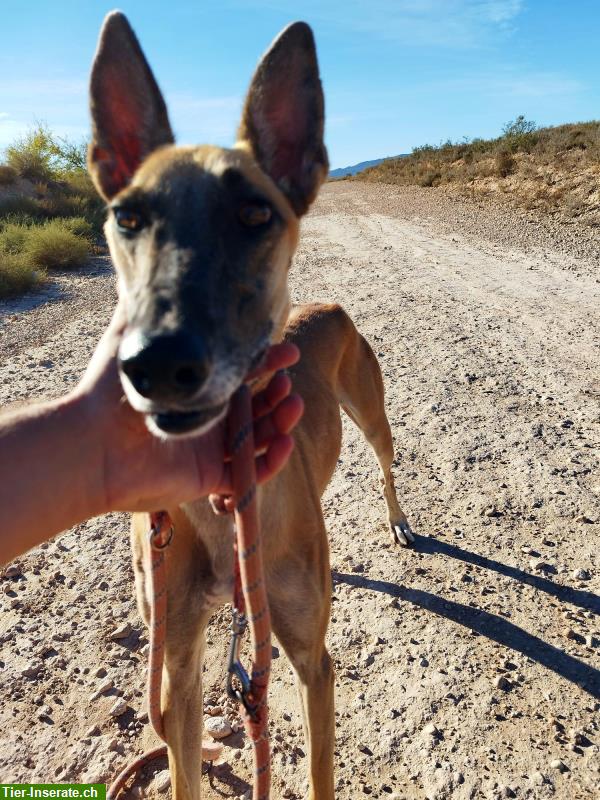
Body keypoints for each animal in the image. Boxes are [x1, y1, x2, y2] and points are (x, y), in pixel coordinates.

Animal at [86, 14, 412, 800]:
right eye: (128, 216)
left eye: (255, 212)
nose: (156, 365)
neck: (221, 507)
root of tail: (330, 305)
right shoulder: (176, 673)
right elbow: (184, 764)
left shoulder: (313, 664)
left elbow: (321, 772)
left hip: (373, 414)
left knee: (388, 466)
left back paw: (398, 523)